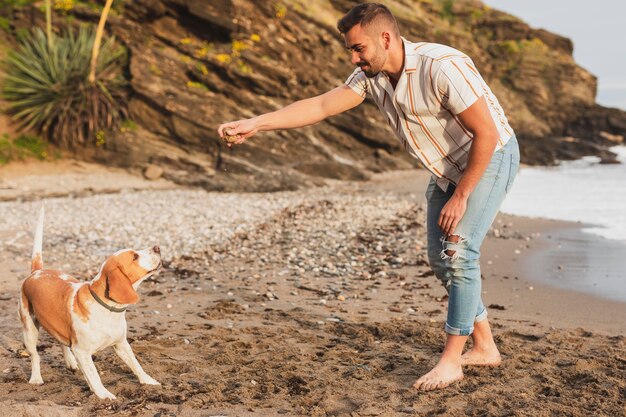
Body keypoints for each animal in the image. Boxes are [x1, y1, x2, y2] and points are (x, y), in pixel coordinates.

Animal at [18, 208, 162, 400]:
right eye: (135, 256)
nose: (157, 247)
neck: (109, 310)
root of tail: (37, 272)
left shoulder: (121, 344)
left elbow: (136, 364)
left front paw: (148, 381)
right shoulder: (82, 352)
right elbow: (94, 376)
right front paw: (104, 395)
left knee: (61, 341)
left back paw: (70, 362)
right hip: (30, 330)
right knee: (35, 355)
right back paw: (36, 378)